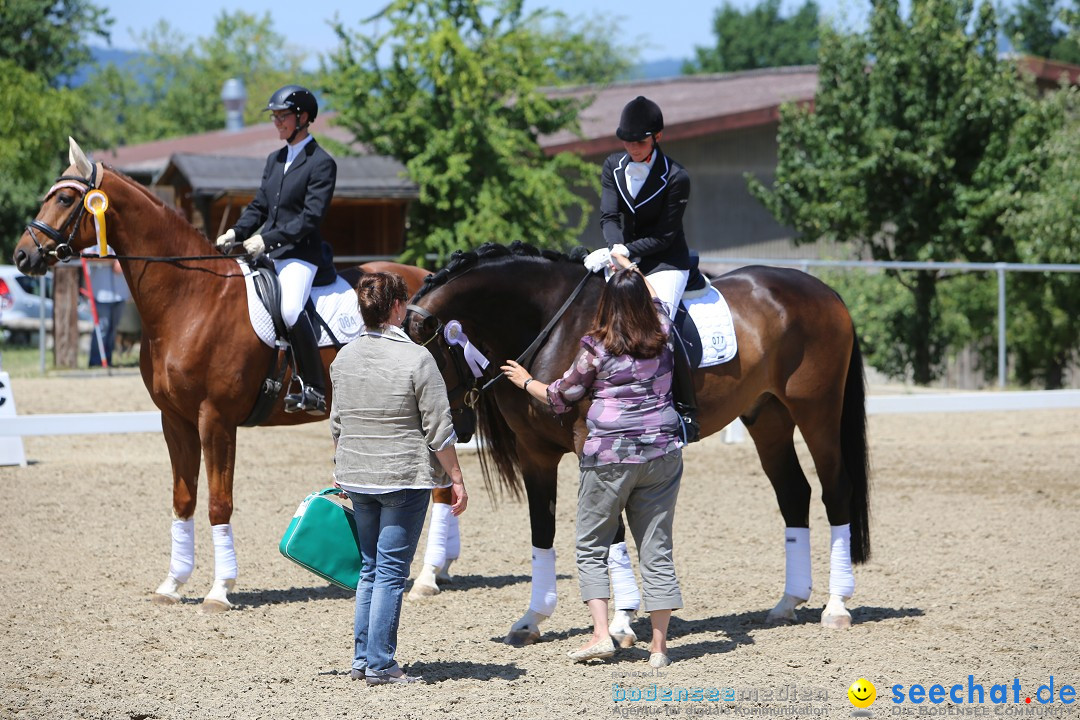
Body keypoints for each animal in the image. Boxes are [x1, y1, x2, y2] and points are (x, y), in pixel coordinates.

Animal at [13, 138, 429, 613]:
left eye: (65, 198)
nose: (22, 255)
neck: (190, 298)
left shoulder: (216, 419)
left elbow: (219, 503)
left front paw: (219, 589)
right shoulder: (174, 419)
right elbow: (183, 499)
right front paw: (172, 583)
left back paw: (427, 579)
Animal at [408, 241, 872, 643]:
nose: (455, 430)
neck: (550, 325)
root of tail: (822, 289)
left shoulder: (596, 447)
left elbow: (611, 532)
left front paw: (620, 622)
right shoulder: (534, 453)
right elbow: (542, 531)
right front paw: (531, 619)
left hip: (816, 410)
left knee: (836, 490)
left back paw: (836, 607)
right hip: (768, 416)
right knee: (794, 493)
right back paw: (788, 602)